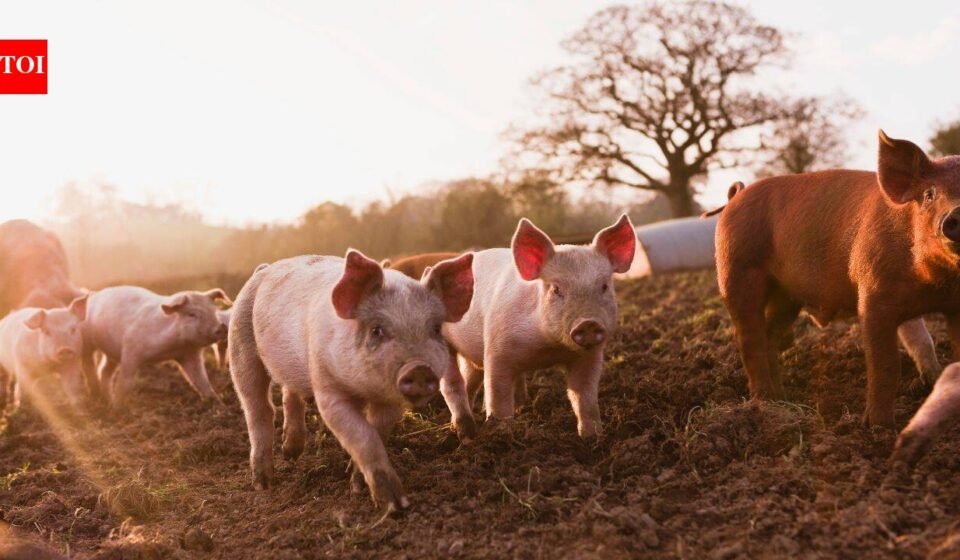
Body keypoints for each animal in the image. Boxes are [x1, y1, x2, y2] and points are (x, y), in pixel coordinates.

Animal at [81, 286, 231, 408]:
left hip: (112, 353)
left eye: (214, 311)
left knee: (104, 371)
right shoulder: (131, 351)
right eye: (192, 314)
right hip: (86, 341)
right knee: (89, 363)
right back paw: (98, 395)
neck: (173, 347)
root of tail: (94, 294)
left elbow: (202, 382)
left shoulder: (190, 355)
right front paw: (118, 410)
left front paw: (221, 406)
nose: (222, 328)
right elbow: (126, 382)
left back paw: (107, 400)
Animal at [230, 250, 475, 510]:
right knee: (258, 409)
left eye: (436, 329)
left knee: (290, 394)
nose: (419, 368)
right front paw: (394, 505)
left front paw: (357, 485)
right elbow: (363, 436)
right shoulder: (328, 388)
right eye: (377, 330)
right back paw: (263, 483)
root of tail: (263, 269)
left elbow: (377, 432)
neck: (364, 389)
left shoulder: (389, 401)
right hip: (240, 345)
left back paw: (291, 454)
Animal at [442, 215, 636, 438]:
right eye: (556, 289)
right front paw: (502, 433)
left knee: (471, 380)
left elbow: (584, 397)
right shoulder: (497, 350)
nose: (588, 323)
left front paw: (592, 437)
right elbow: (498, 397)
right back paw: (463, 431)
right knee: (454, 385)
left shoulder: (589, 357)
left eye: (604, 286)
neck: (549, 349)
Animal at [715, 130, 960, 428]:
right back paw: (764, 403)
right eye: (929, 194)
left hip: (787, 296)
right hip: (736, 272)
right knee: (749, 338)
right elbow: (886, 365)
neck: (933, 282)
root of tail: (735, 197)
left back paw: (782, 397)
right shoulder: (873, 296)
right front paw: (879, 427)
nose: (956, 212)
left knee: (769, 335)